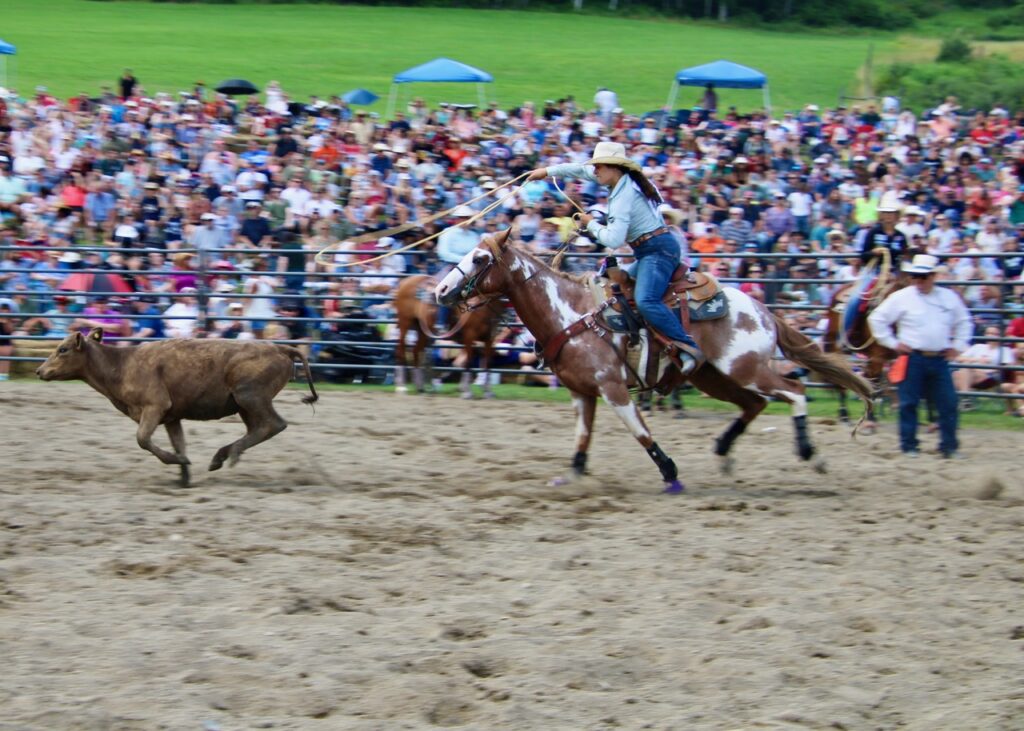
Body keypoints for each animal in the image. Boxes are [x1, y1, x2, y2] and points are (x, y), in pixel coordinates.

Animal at [36, 328, 319, 486]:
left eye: (63, 349)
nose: (39, 371)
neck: (121, 365)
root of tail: (281, 348)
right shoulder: (171, 417)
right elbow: (178, 442)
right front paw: (184, 476)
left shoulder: (154, 406)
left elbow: (142, 439)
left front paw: (178, 462)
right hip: (244, 404)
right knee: (259, 429)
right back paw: (221, 457)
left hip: (250, 396)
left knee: (273, 424)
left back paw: (226, 455)